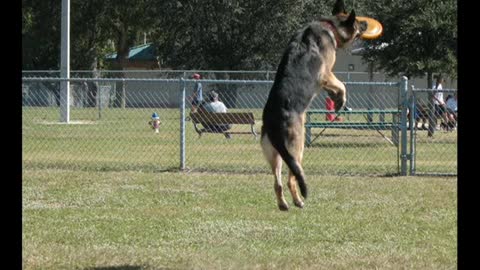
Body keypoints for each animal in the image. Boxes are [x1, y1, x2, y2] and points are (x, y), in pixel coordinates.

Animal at [260, 0, 366, 211]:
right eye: (359, 23)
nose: (367, 24)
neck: (330, 26)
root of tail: (273, 123)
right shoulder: (325, 73)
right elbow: (342, 85)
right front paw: (340, 100)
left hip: (275, 156)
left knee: (277, 182)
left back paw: (284, 204)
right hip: (297, 149)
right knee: (292, 179)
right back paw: (298, 201)